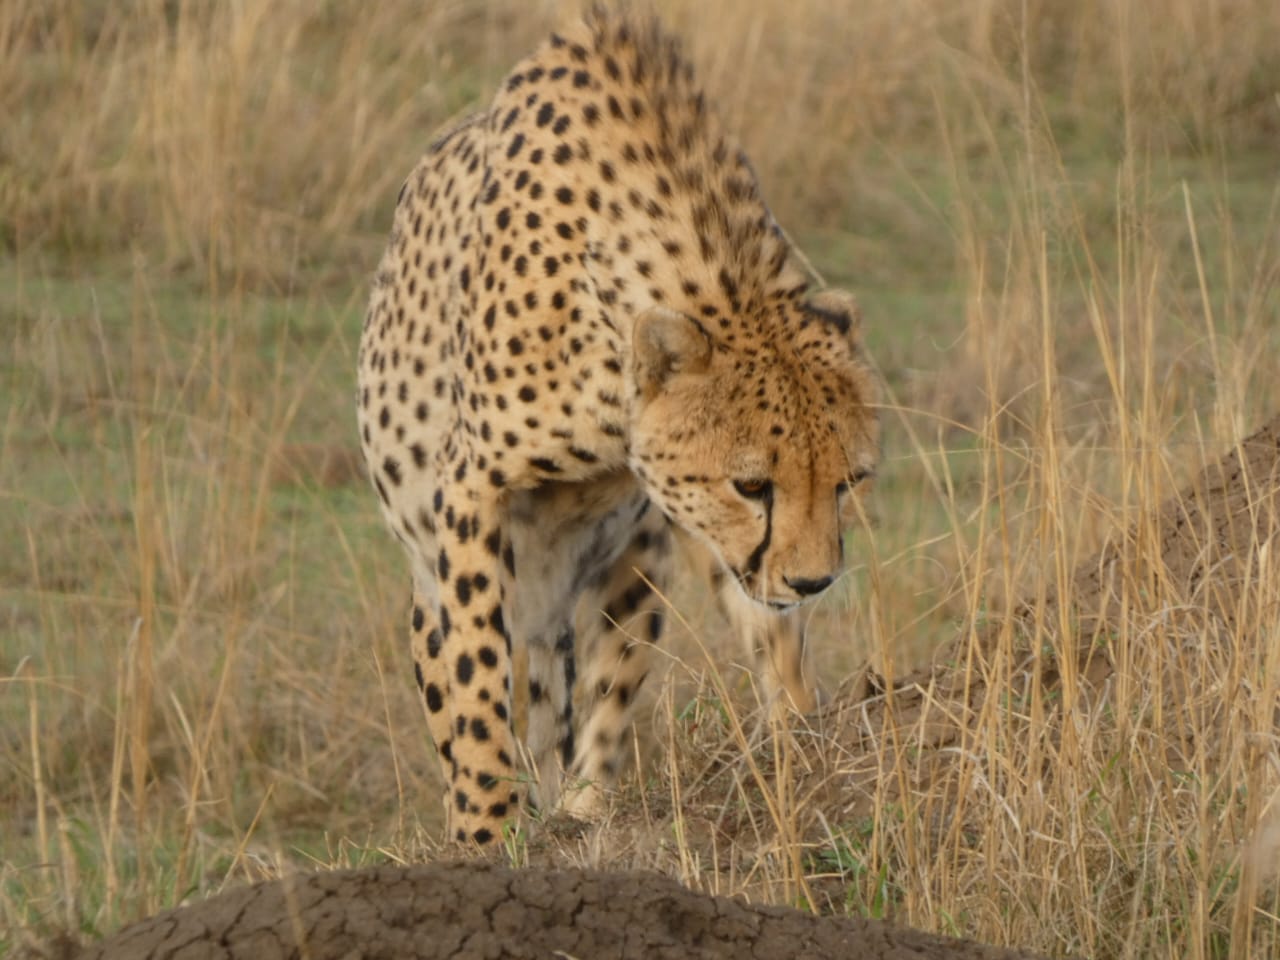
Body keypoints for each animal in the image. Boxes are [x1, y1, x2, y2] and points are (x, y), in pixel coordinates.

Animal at [356, 6, 880, 846]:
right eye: (751, 485)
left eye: (849, 481)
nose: (813, 581)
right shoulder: (470, 489)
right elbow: (476, 684)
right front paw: (487, 834)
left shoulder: (653, 531)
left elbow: (650, 672)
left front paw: (802, 743)